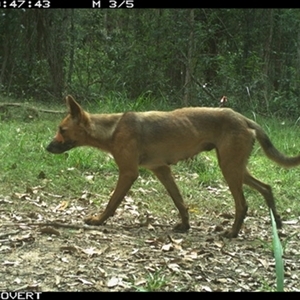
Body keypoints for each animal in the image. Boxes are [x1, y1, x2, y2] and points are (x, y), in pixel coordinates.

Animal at [45, 95, 300, 238]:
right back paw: (277, 222)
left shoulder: (128, 173)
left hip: (230, 169)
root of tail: (244, 118)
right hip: (236, 167)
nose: (47, 148)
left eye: (62, 130)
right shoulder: (161, 170)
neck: (112, 130)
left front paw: (99, 220)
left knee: (243, 204)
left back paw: (233, 232)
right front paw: (185, 225)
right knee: (266, 187)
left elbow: (112, 202)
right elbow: (179, 202)